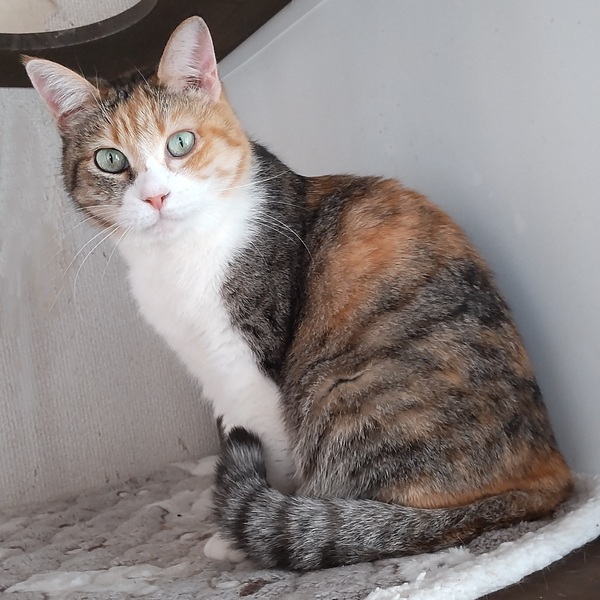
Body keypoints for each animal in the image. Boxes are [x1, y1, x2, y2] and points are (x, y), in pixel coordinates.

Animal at [25, 16, 573, 570]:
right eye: (110, 159)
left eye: (180, 143)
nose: (155, 197)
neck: (177, 256)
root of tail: (551, 473)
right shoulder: (212, 368)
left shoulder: (247, 365)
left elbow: (267, 444)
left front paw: (242, 531)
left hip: (340, 391)